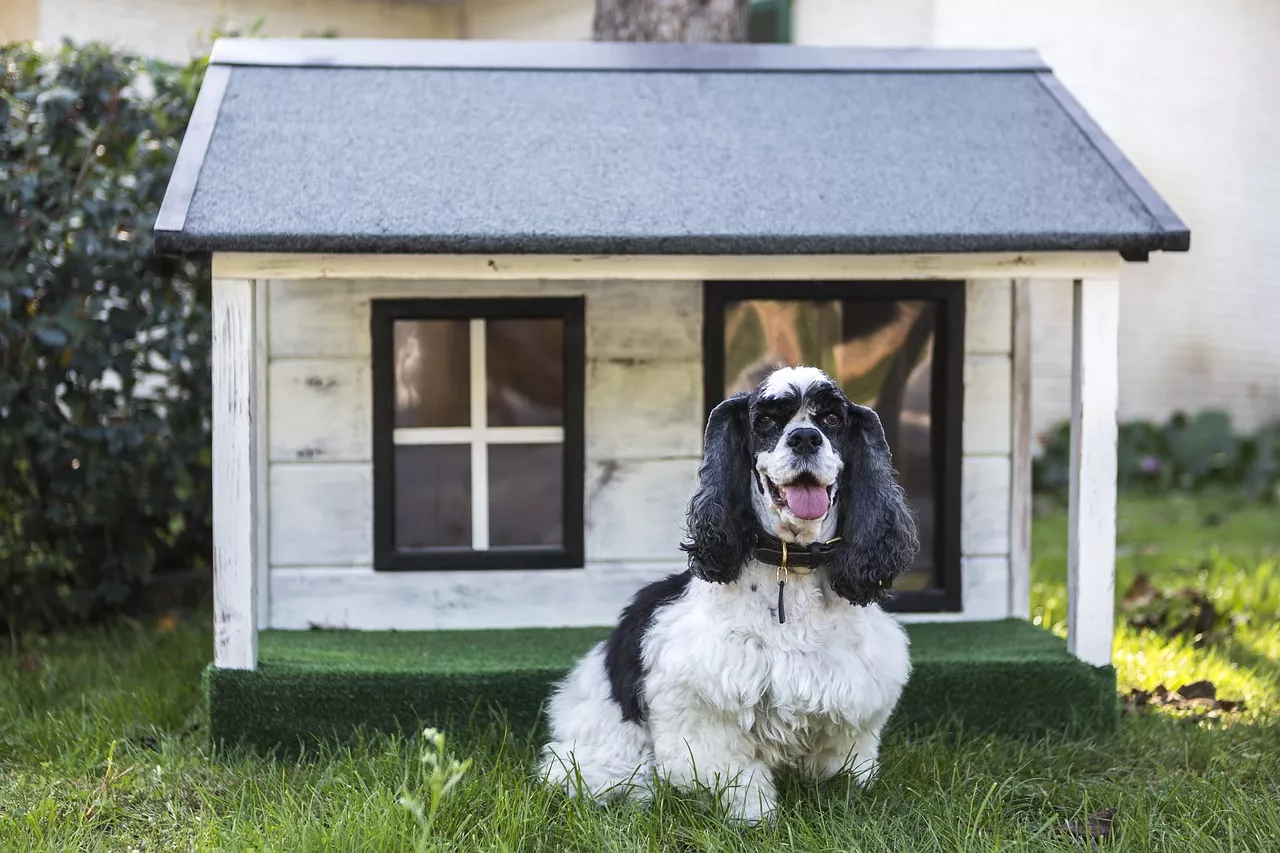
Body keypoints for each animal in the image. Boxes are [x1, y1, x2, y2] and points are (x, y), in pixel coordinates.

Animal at [535, 361, 916, 819]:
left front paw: (845, 802)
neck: (791, 564)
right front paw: (755, 817)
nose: (805, 438)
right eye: (765, 421)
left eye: (832, 419)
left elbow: (843, 765)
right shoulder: (703, 705)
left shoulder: (853, 702)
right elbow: (736, 776)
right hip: (603, 748)